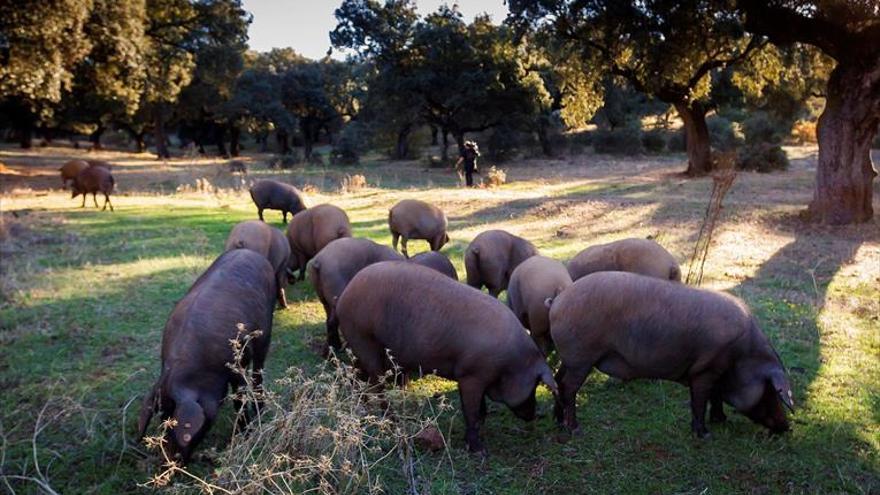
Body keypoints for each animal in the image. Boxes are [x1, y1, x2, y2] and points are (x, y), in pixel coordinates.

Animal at [136, 252, 276, 464]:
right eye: (162, 419)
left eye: (176, 423)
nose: (170, 462)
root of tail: (251, 252)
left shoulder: (237, 365)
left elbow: (239, 399)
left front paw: (244, 435)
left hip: (266, 328)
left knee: (259, 369)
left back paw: (261, 408)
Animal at [336, 264, 556, 454]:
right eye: (535, 385)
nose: (532, 415)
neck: (511, 364)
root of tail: (345, 294)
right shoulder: (471, 375)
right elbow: (471, 411)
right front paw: (479, 451)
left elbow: (479, 409)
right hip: (364, 340)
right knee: (376, 384)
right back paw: (392, 420)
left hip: (358, 348)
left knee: (357, 377)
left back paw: (362, 410)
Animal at [552, 274, 792, 440]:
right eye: (772, 391)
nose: (787, 426)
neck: (742, 356)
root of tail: (558, 300)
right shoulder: (705, 369)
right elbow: (700, 401)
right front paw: (705, 435)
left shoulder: (716, 372)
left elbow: (714, 397)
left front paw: (721, 420)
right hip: (581, 358)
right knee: (569, 387)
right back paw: (575, 429)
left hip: (569, 359)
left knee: (557, 381)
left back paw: (558, 422)